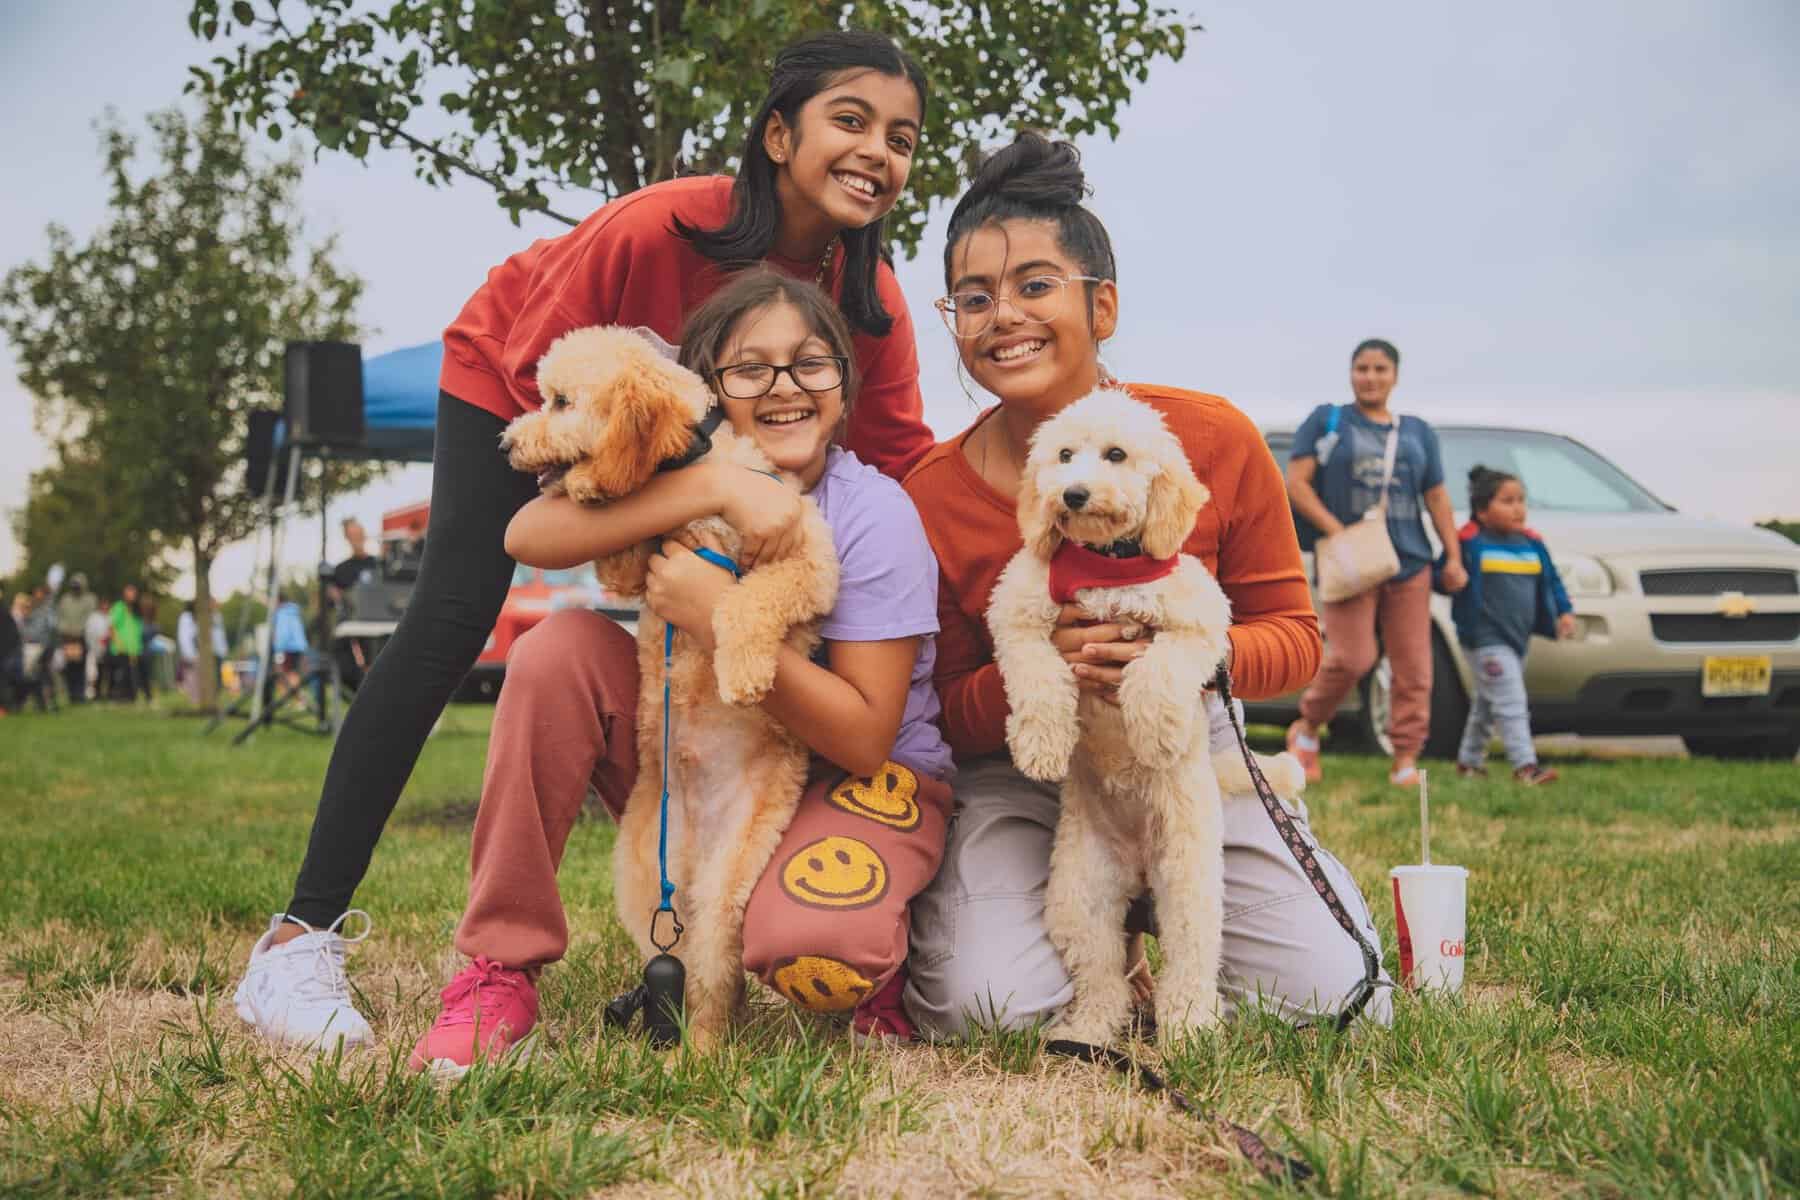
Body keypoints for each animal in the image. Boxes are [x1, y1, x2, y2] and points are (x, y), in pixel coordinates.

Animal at [500, 329, 835, 1050]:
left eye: (560, 401)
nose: (505, 444)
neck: (696, 472)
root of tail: (693, 848)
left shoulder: (809, 562)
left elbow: (750, 597)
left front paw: (743, 669)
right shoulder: (634, 568)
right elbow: (626, 548)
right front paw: (595, 488)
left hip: (730, 885)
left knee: (712, 978)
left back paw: (703, 1051)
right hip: (640, 883)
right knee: (676, 961)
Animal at [993, 390, 1303, 1043]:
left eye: (1116, 455)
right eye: (1064, 455)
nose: (1073, 494)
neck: (1107, 566)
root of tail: (1136, 870)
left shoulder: (1202, 624)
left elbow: (1159, 669)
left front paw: (1156, 733)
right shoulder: (1016, 615)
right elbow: (1038, 677)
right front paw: (1042, 745)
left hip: (1189, 887)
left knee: (1188, 966)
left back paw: (1189, 1032)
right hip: (1078, 898)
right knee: (1102, 976)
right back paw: (1087, 1030)